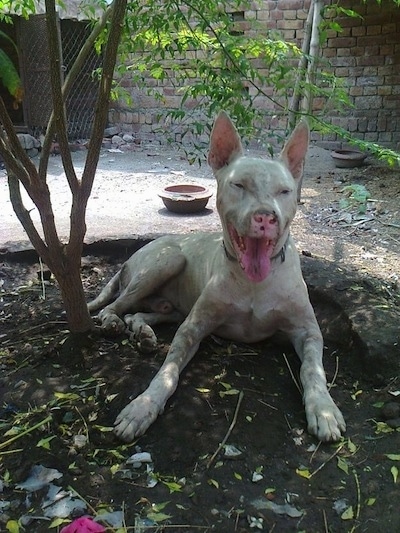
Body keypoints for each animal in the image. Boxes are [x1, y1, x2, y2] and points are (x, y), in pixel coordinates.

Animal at [87, 110, 344, 442]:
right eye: (239, 185)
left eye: (284, 191)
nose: (266, 217)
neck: (253, 283)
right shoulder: (192, 328)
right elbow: (167, 371)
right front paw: (142, 406)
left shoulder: (308, 331)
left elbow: (313, 370)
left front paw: (323, 410)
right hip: (167, 260)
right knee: (114, 306)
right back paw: (114, 323)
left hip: (172, 302)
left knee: (142, 313)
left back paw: (143, 332)